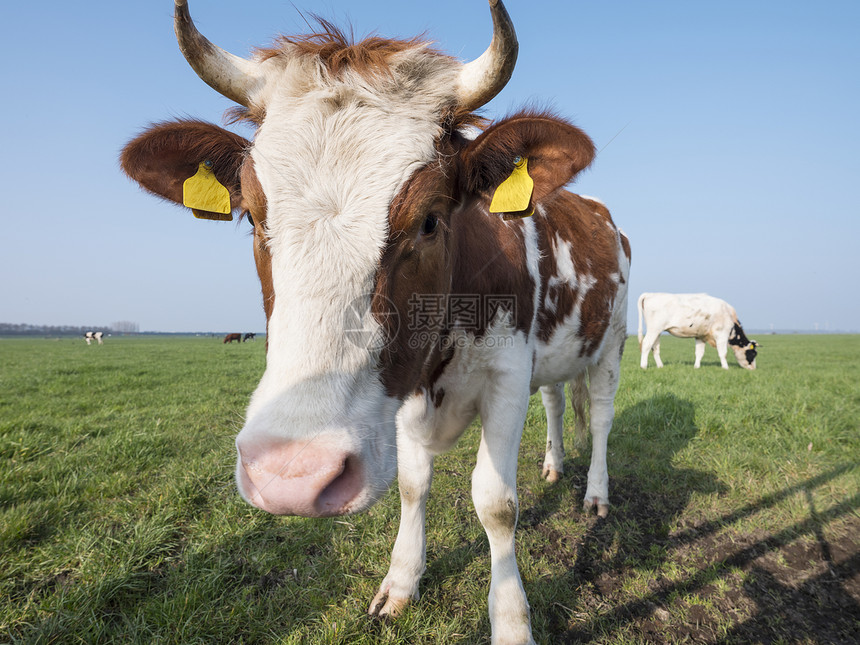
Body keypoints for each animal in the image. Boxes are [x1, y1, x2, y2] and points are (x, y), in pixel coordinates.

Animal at [119, 2, 632, 640]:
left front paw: (512, 620)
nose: (293, 473)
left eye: (431, 219)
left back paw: (596, 494)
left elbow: (495, 503)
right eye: (254, 218)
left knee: (603, 417)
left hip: (612, 343)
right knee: (559, 402)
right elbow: (413, 485)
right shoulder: (403, 387)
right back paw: (555, 467)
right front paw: (402, 581)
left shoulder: (508, 373)